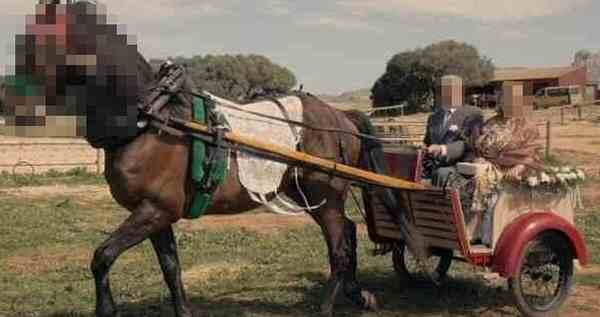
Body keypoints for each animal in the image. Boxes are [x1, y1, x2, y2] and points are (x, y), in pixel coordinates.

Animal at [16, 1, 422, 314]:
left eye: (35, 44)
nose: (18, 108)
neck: (153, 119)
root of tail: (341, 118)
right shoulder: (157, 215)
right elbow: (170, 268)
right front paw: (183, 310)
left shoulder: (154, 210)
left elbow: (102, 256)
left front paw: (106, 308)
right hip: (314, 196)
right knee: (348, 235)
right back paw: (357, 293)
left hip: (325, 195)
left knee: (339, 247)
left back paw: (327, 306)